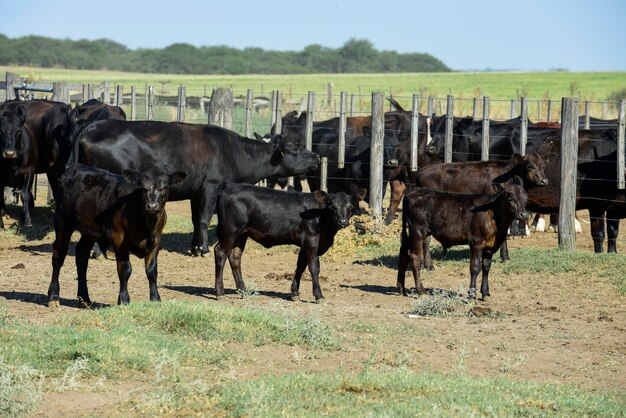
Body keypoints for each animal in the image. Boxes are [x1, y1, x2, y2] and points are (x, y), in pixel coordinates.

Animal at [46, 165, 185, 308]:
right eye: (142, 188)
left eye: (164, 187)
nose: (152, 206)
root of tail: (74, 167)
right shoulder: (119, 238)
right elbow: (125, 269)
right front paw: (123, 300)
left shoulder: (156, 240)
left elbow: (151, 270)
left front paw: (155, 298)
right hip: (62, 222)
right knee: (58, 256)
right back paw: (53, 296)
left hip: (89, 231)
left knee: (82, 255)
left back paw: (84, 299)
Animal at [72, 119, 322, 256]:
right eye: (296, 148)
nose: (317, 157)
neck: (232, 151)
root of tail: (92, 126)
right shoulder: (211, 187)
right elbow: (204, 218)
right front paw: (203, 249)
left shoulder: (195, 191)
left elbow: (195, 219)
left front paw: (194, 248)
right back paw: (98, 250)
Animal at [213, 182, 356, 300]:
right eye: (332, 207)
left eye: (350, 207)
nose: (343, 221)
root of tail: (228, 187)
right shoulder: (311, 240)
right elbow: (314, 267)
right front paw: (318, 295)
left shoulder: (304, 245)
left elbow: (300, 266)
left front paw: (294, 293)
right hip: (230, 231)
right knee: (220, 252)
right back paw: (220, 293)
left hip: (242, 234)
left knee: (235, 257)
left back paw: (243, 291)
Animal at [394, 176, 528, 300]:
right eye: (510, 199)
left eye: (526, 199)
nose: (524, 214)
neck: (493, 214)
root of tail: (412, 191)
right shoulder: (476, 243)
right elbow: (475, 268)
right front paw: (471, 294)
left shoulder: (490, 246)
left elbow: (486, 267)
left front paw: (485, 293)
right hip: (417, 232)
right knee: (414, 257)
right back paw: (421, 291)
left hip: (412, 233)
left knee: (403, 253)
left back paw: (401, 288)